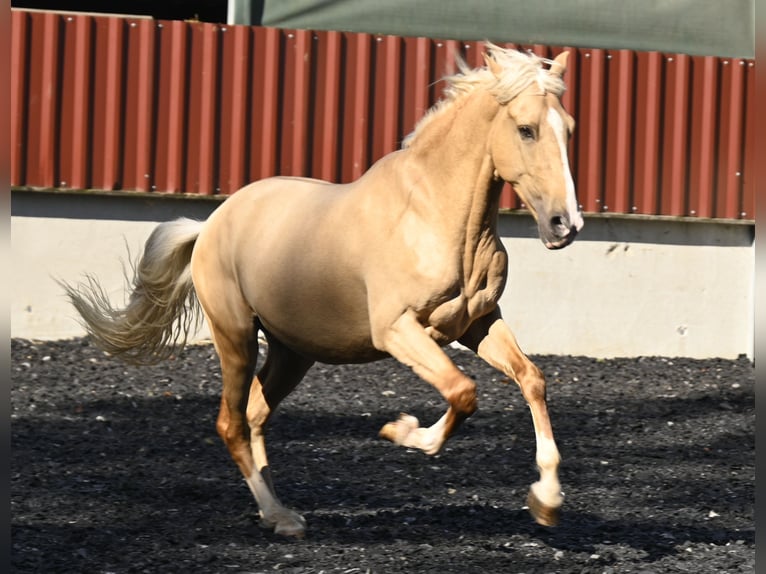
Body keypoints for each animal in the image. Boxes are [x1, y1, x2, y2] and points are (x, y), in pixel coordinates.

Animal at [64, 45, 584, 540]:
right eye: (526, 130)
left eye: (570, 129)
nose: (566, 225)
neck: (433, 215)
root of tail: (211, 223)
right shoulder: (397, 330)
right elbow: (463, 391)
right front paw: (402, 432)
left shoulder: (477, 324)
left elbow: (531, 379)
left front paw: (546, 501)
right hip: (235, 337)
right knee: (232, 423)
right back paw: (282, 517)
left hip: (292, 352)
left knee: (255, 414)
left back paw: (272, 511)